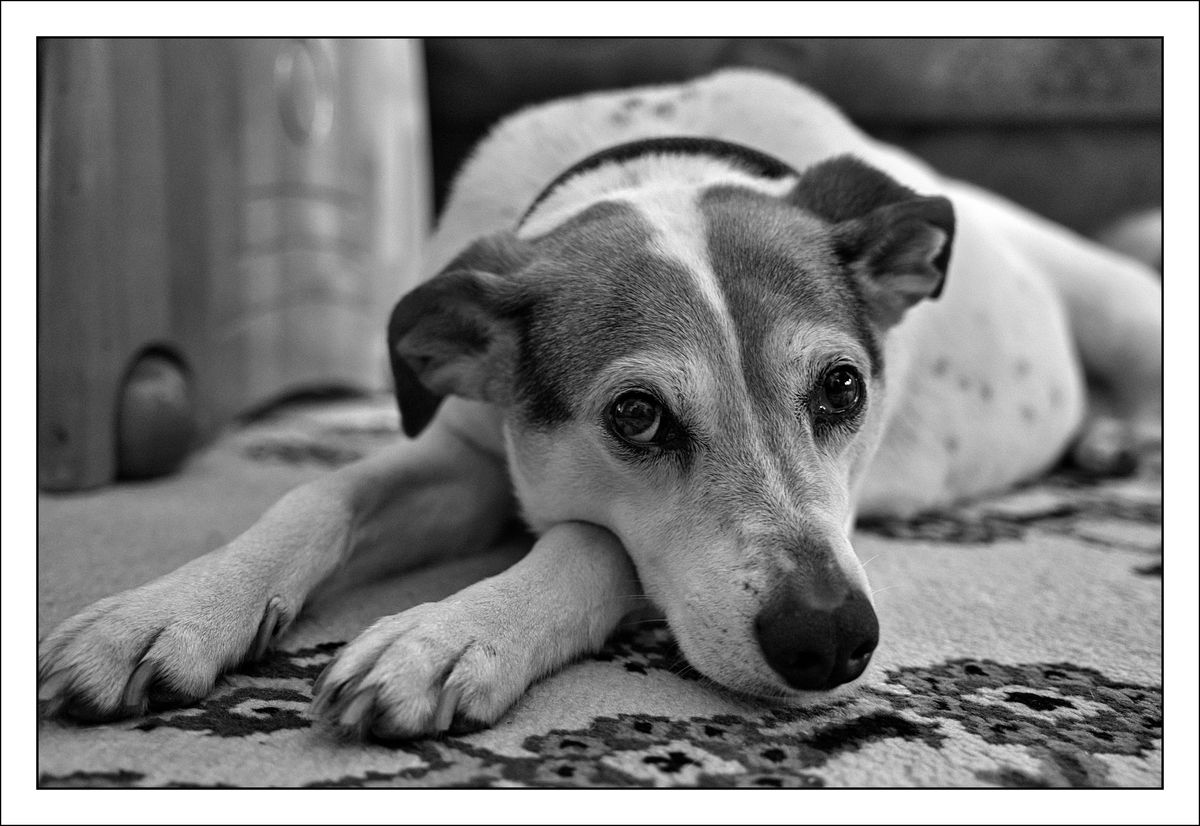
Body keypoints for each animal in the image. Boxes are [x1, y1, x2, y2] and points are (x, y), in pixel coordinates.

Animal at [39, 70, 1161, 739]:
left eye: (843, 387)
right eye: (636, 417)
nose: (832, 641)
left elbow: (596, 543)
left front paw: (446, 634)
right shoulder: (466, 452)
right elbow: (318, 496)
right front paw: (165, 613)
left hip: (1126, 307)